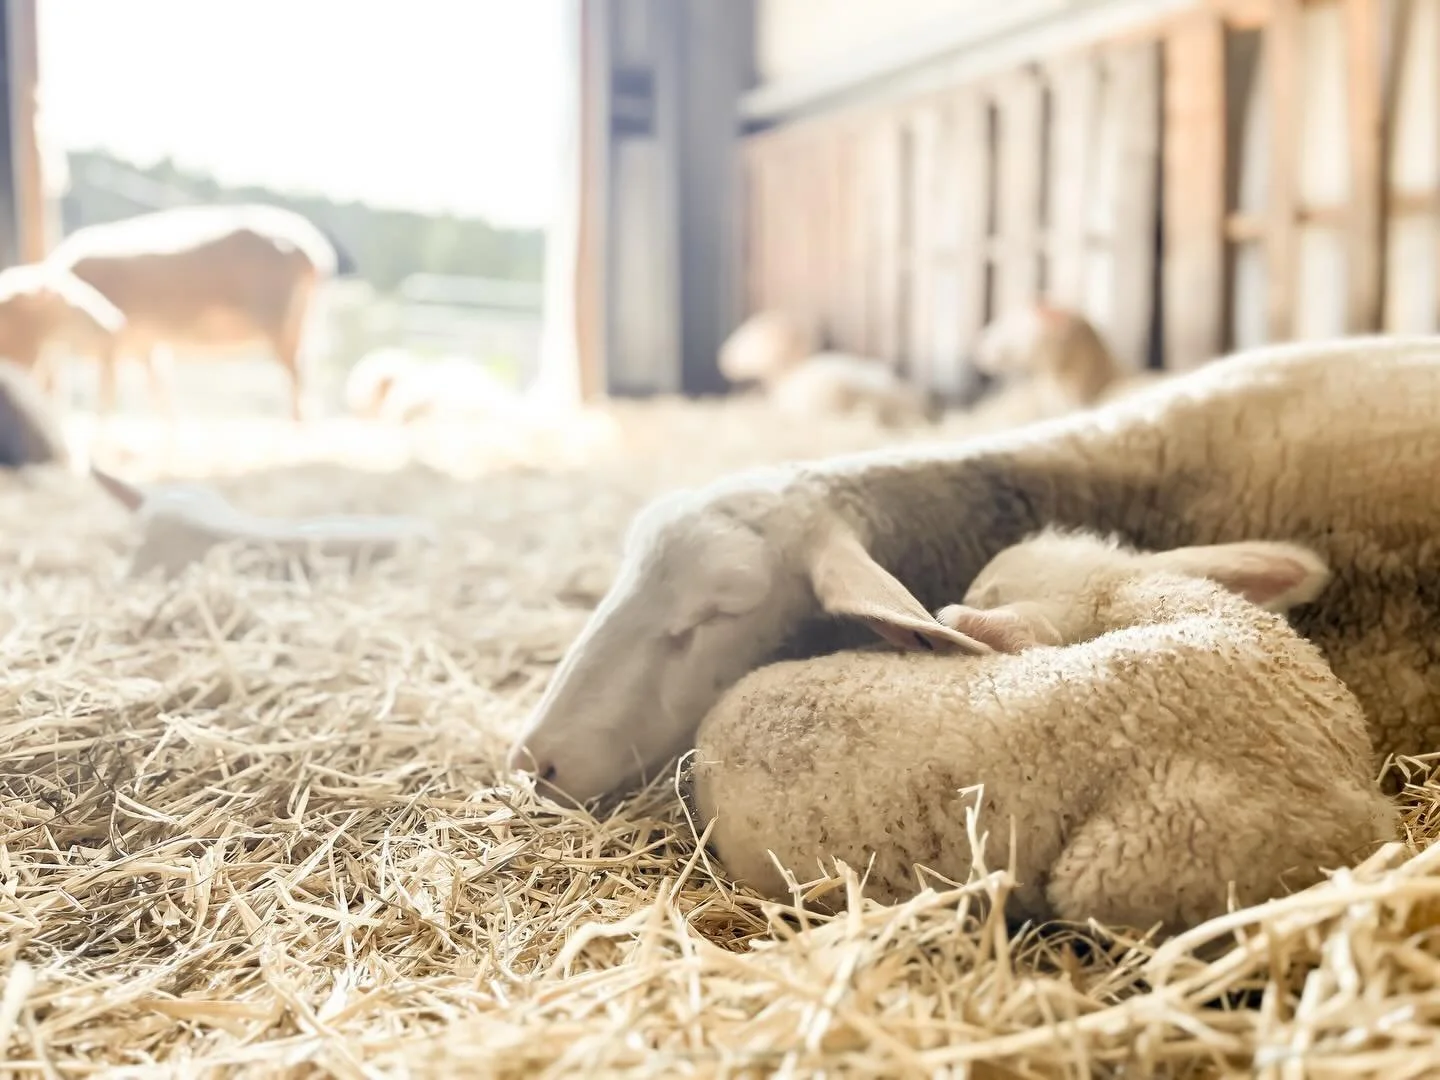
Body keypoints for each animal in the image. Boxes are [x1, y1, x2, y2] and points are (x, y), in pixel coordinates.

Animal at [45, 204, 351, 422]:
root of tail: (318, 253)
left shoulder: (114, 345)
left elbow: (107, 400)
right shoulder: (146, 344)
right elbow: (160, 393)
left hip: (281, 323)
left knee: (298, 382)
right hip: (299, 323)